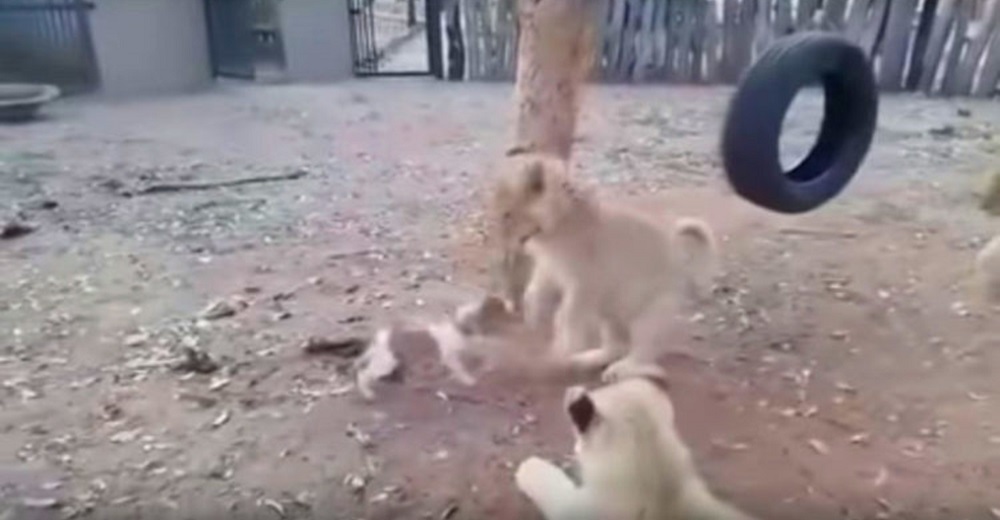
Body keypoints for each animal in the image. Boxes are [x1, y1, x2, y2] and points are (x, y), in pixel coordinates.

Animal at [490, 153, 712, 382]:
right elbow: (534, 291)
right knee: (615, 349)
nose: (503, 245)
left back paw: (621, 370)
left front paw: (562, 347)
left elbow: (567, 314)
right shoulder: (549, 268)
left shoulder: (585, 282)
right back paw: (585, 359)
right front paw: (532, 315)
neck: (564, 217)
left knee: (645, 358)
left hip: (649, 318)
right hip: (609, 319)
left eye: (507, 214)